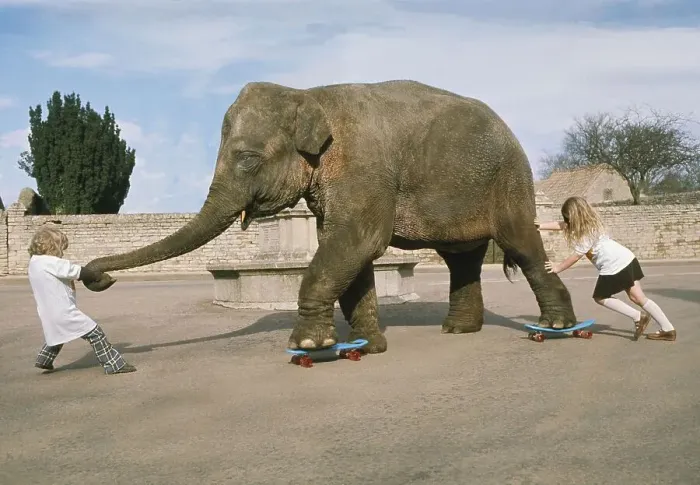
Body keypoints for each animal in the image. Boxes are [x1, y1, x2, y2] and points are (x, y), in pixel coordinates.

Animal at [83, 79, 577, 353]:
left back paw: (557, 328)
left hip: (508, 181)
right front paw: (369, 346)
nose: (95, 277)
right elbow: (348, 251)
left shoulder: (363, 168)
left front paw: (307, 346)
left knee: (521, 245)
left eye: (247, 159)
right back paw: (458, 330)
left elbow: (357, 241)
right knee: (462, 258)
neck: (308, 94)